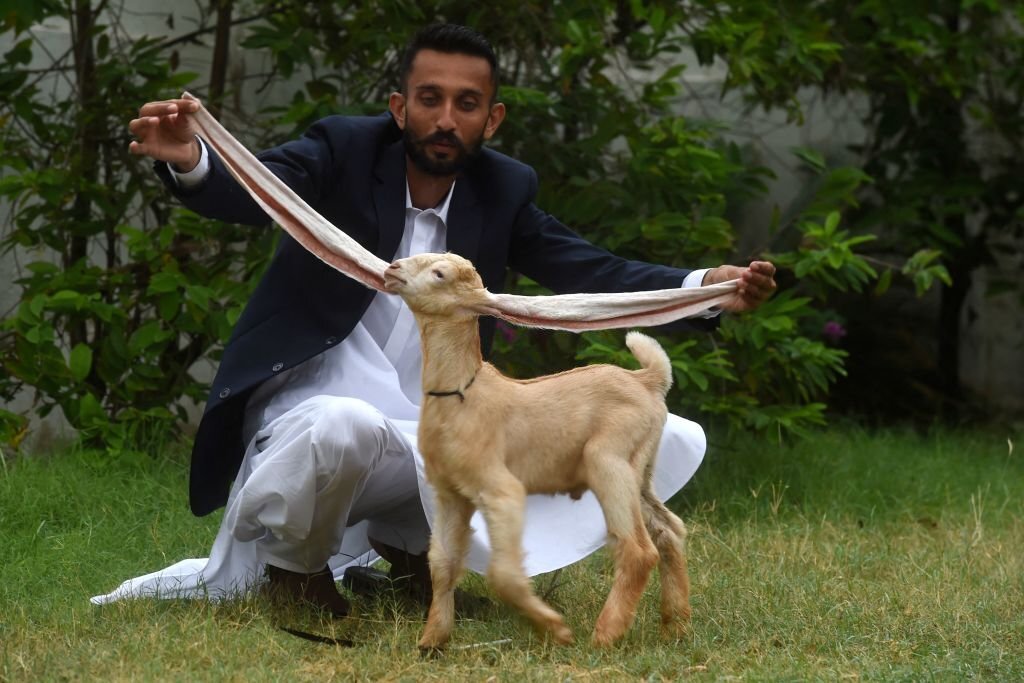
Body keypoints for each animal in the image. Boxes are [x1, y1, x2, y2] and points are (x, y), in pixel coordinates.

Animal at [384, 252, 691, 649]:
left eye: (439, 274)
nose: (392, 269)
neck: (463, 393)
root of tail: (647, 380)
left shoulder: (501, 491)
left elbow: (503, 574)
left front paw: (554, 629)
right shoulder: (451, 495)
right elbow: (443, 564)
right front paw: (432, 640)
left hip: (609, 461)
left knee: (637, 549)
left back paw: (605, 636)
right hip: (641, 468)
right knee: (669, 530)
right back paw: (676, 625)